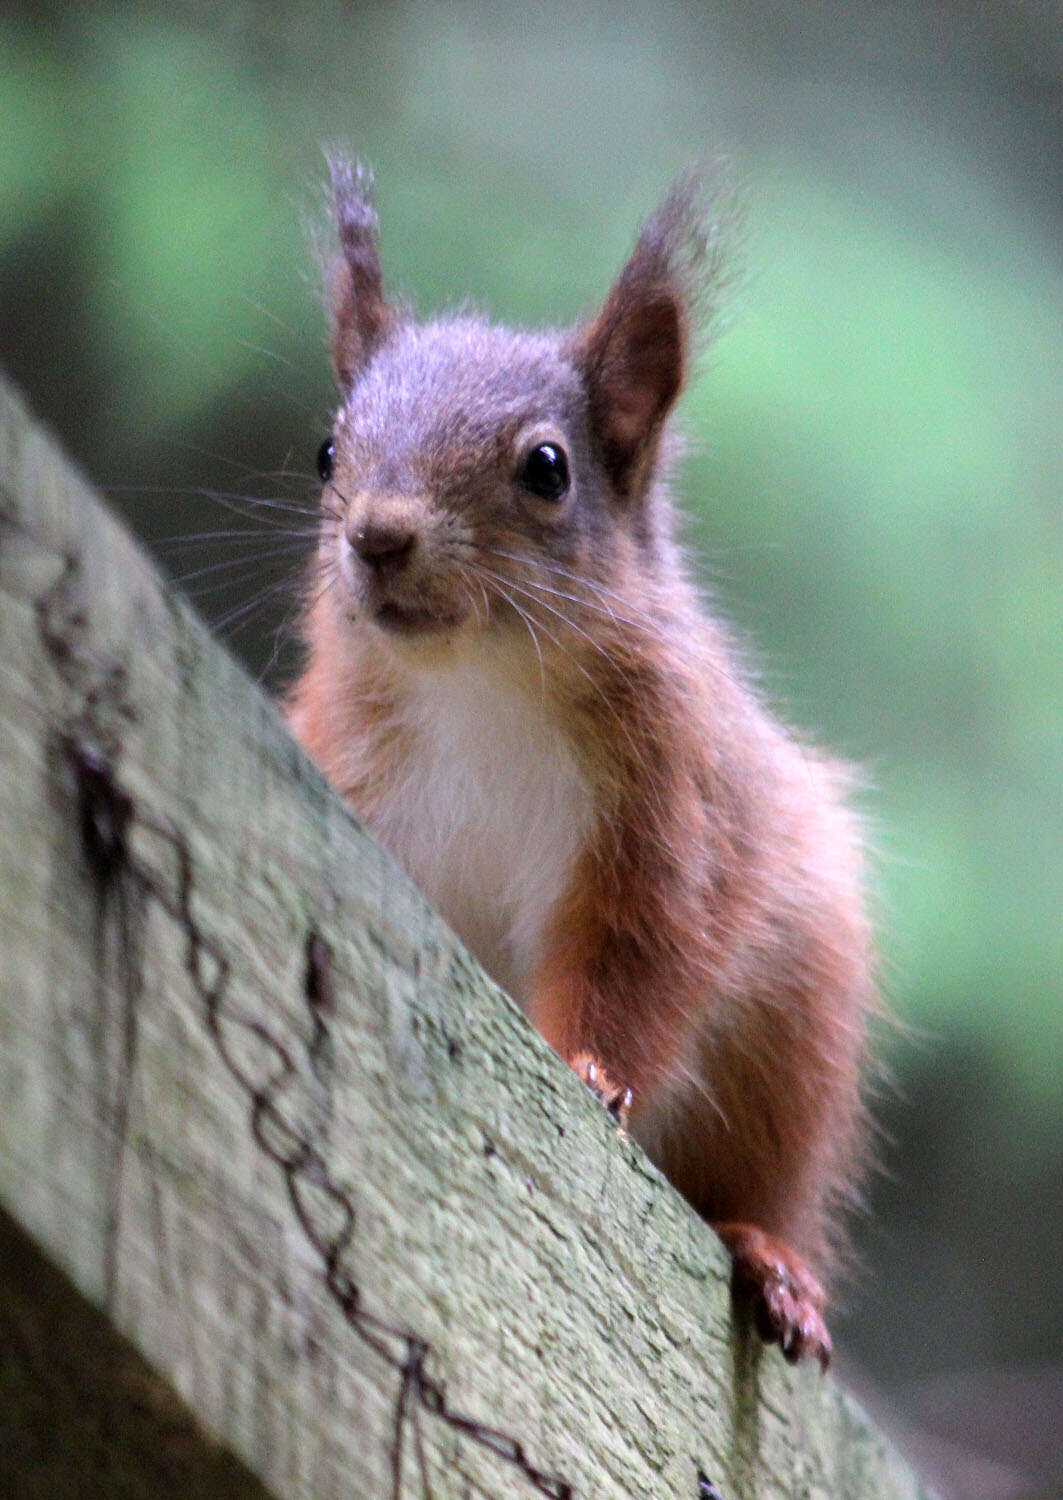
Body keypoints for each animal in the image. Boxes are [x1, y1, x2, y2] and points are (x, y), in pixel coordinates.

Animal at [287, 155, 869, 1374]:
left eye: (547, 469)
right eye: (327, 450)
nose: (378, 535)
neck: (481, 682)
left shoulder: (670, 816)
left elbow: (637, 957)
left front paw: (592, 1071)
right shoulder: (349, 766)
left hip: (793, 1031)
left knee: (757, 1180)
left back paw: (769, 1256)